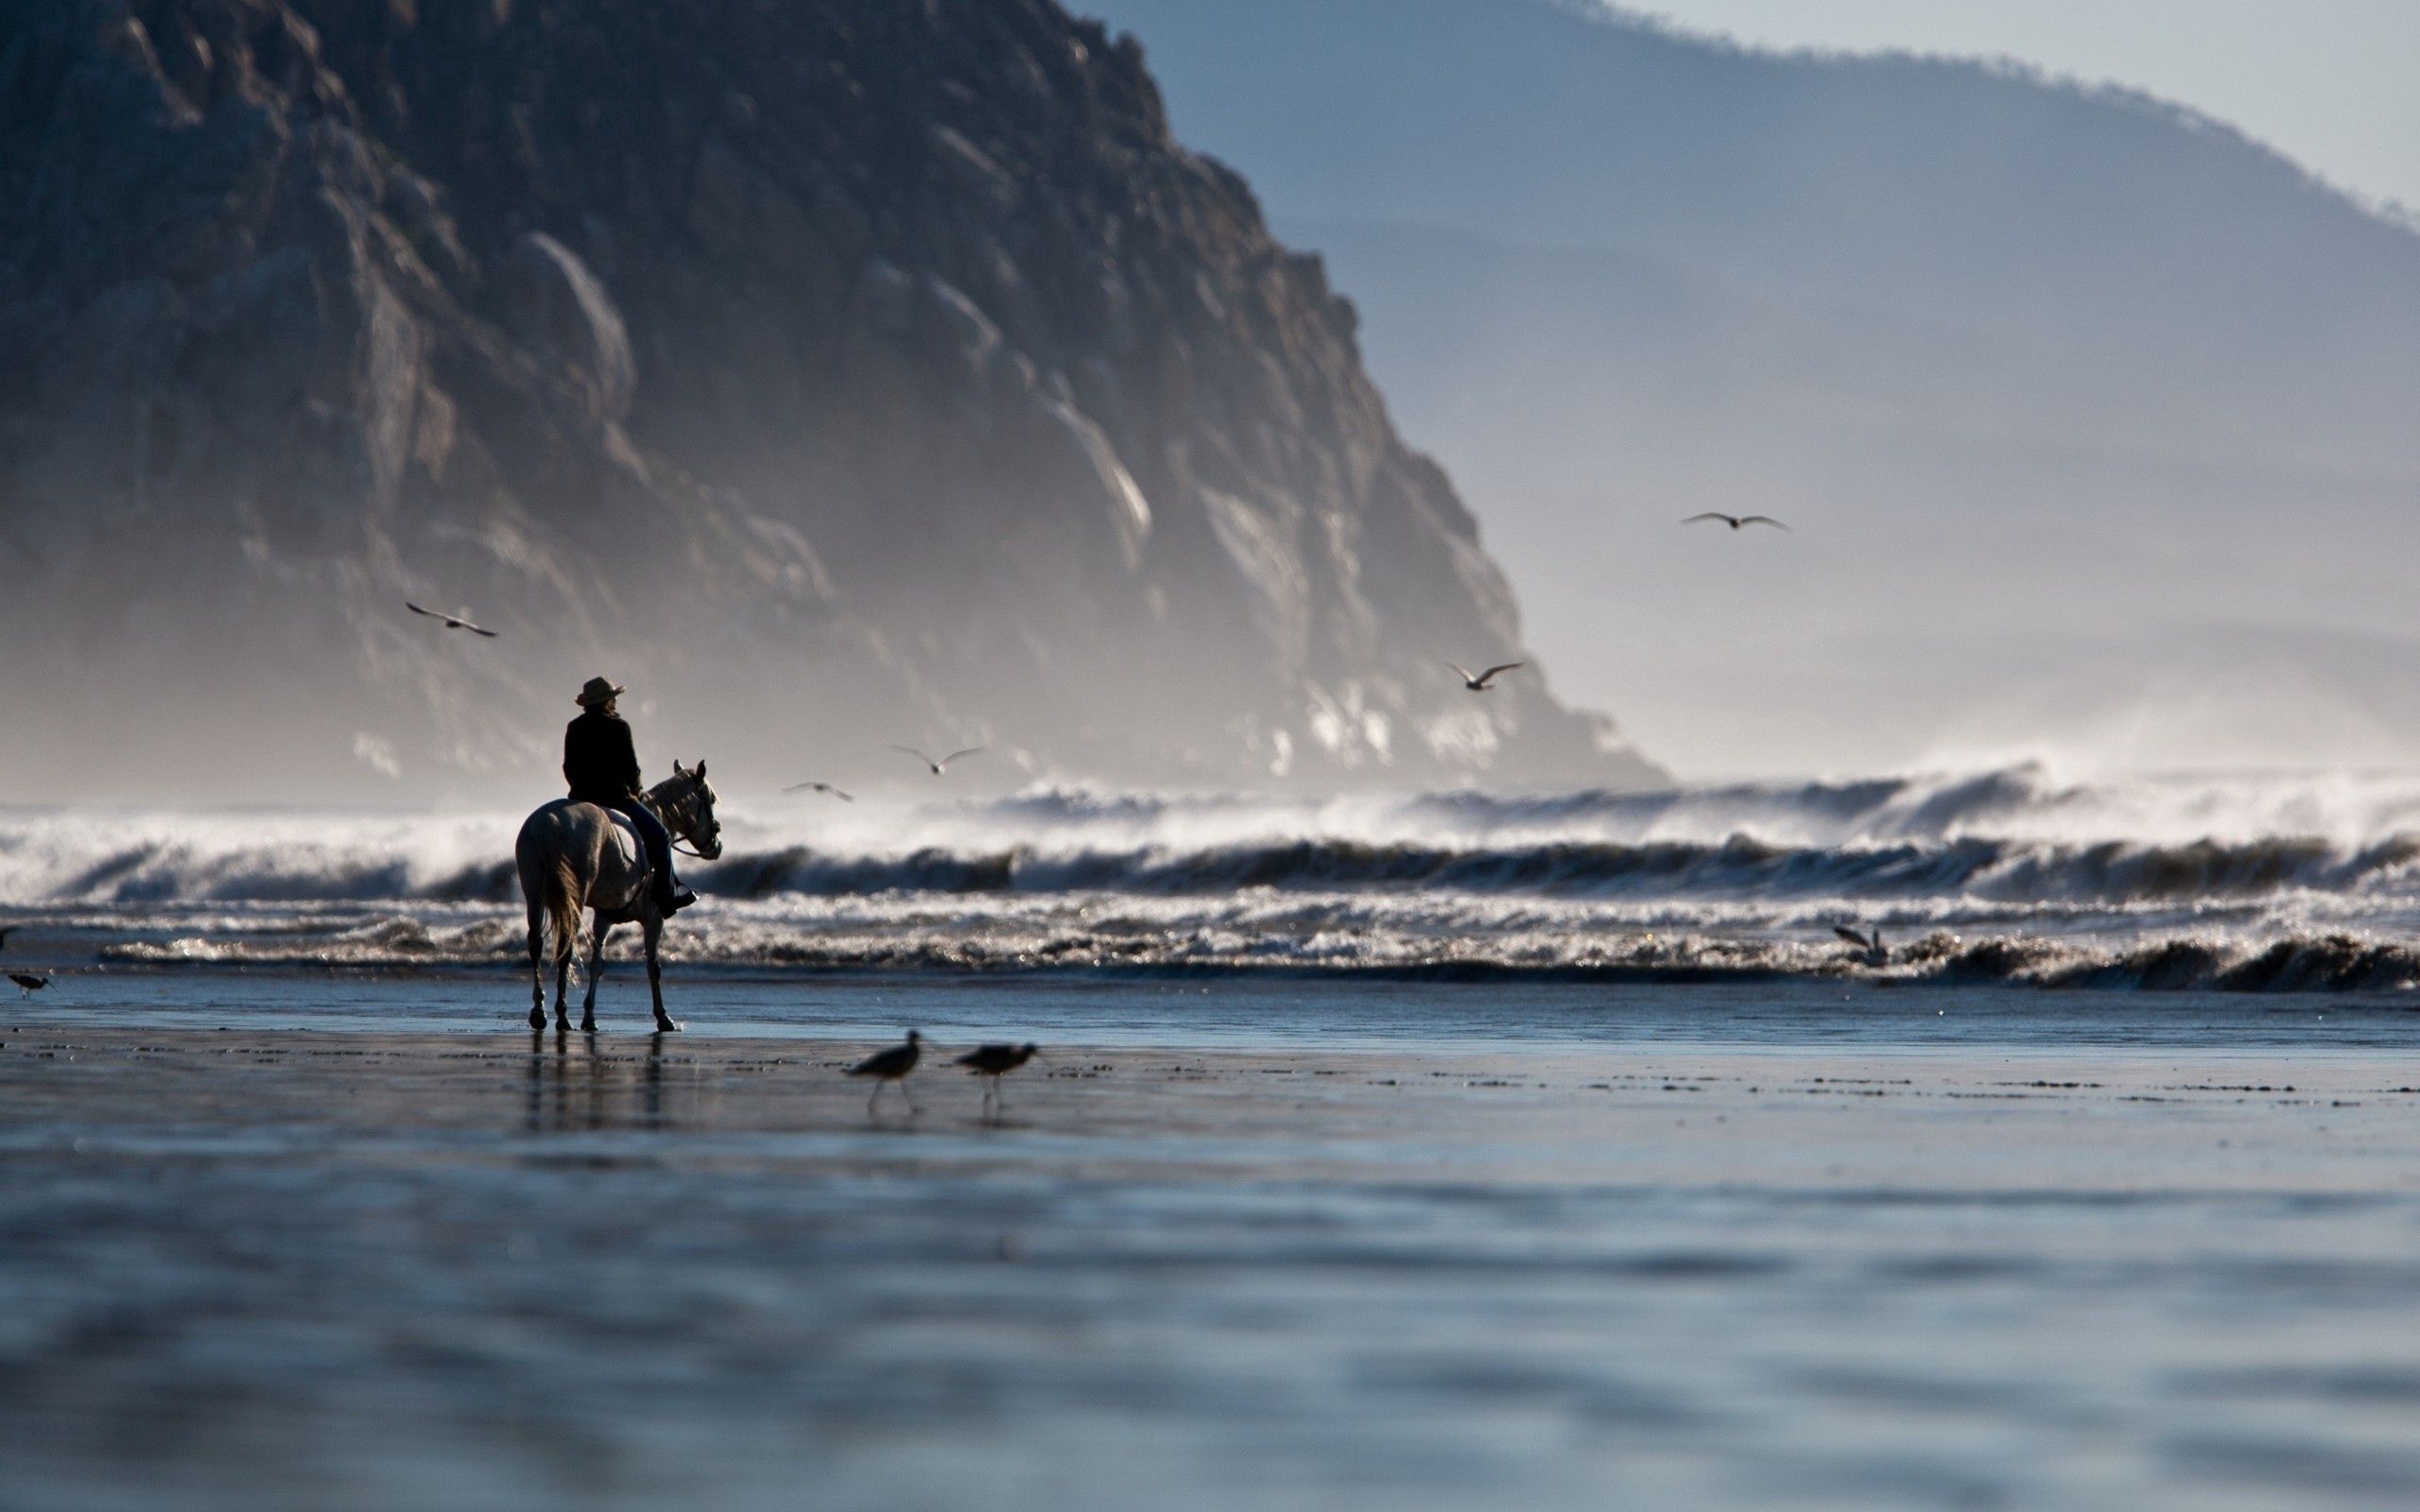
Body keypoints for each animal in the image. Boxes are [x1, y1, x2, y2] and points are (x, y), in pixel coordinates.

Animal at [515, 759, 720, 1030]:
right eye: (712, 799)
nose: (716, 846)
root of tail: (546, 823)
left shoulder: (604, 917)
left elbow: (597, 964)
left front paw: (589, 1017)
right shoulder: (654, 916)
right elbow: (653, 966)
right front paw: (663, 1017)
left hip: (534, 894)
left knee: (536, 944)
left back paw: (539, 1011)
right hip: (574, 896)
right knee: (565, 947)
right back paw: (561, 1015)